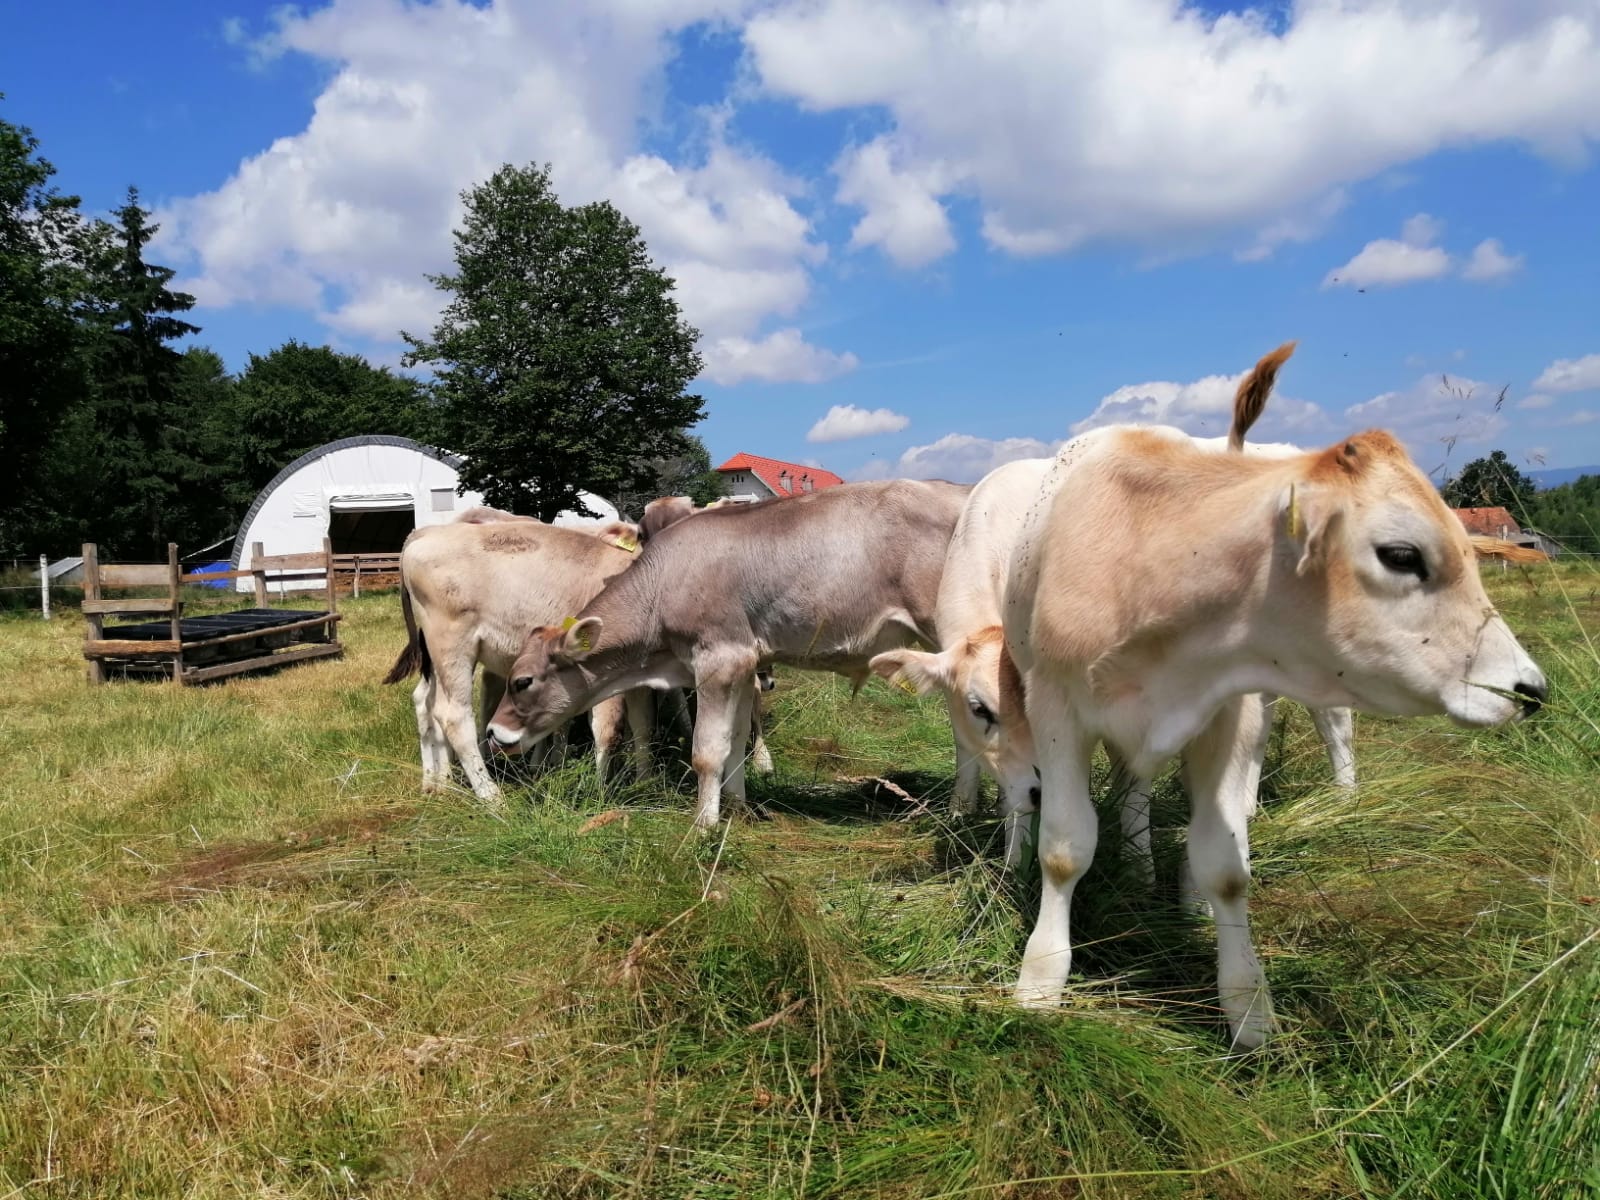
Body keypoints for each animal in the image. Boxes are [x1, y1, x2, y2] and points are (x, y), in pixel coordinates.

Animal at [384, 518, 652, 809]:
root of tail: (425, 532)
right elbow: (608, 729)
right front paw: (602, 795)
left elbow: (642, 725)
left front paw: (645, 785)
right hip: (452, 645)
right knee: (453, 716)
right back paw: (491, 796)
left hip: (433, 656)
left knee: (424, 702)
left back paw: (438, 783)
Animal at [480, 480, 966, 825]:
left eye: (522, 681)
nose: (492, 732)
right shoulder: (745, 664)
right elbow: (734, 740)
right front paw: (736, 809)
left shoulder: (720, 658)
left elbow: (707, 750)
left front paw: (703, 827)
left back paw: (964, 811)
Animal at [1004, 340, 1542, 1049]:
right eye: (1402, 554)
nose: (1529, 688)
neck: (1150, 565)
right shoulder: (1057, 706)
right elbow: (1066, 850)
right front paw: (1041, 978)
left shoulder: (1227, 712)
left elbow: (1225, 864)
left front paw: (1248, 1003)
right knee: (1136, 790)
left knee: (1325, 734)